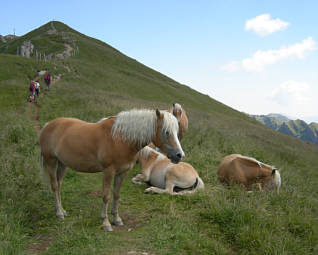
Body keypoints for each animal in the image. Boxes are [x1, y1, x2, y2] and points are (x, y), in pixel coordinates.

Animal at [39, 108, 184, 232]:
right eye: (166, 132)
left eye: (176, 133)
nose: (179, 155)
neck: (120, 139)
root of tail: (48, 125)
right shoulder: (108, 171)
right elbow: (106, 196)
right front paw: (106, 223)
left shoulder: (122, 172)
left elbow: (116, 194)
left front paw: (117, 219)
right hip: (51, 161)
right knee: (55, 186)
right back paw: (59, 213)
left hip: (62, 164)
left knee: (59, 185)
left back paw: (62, 210)